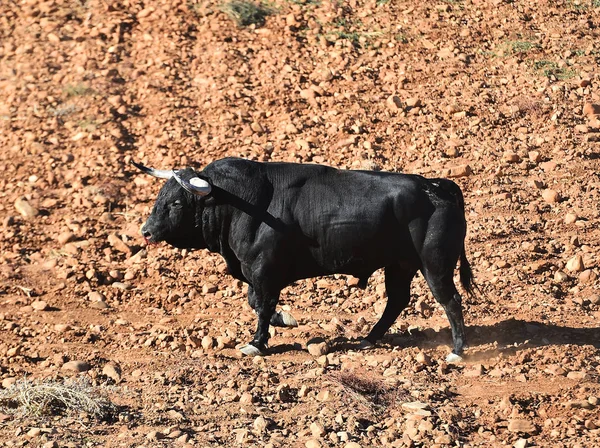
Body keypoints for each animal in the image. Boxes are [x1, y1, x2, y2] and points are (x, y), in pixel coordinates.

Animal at [135, 158, 474, 360]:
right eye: (159, 198)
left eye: (177, 202)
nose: (146, 232)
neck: (240, 202)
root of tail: (437, 186)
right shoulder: (255, 273)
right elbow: (256, 302)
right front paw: (284, 319)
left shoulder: (264, 271)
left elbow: (262, 306)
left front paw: (256, 343)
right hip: (399, 265)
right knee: (397, 300)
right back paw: (369, 339)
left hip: (435, 265)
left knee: (450, 300)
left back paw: (457, 350)